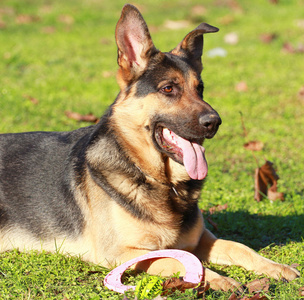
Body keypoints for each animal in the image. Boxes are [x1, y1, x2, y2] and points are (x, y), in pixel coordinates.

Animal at [0, 4, 300, 290]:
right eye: (168, 89)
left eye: (200, 89)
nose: (214, 123)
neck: (160, 180)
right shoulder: (123, 253)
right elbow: (174, 260)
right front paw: (219, 280)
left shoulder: (201, 239)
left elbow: (240, 247)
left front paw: (275, 267)